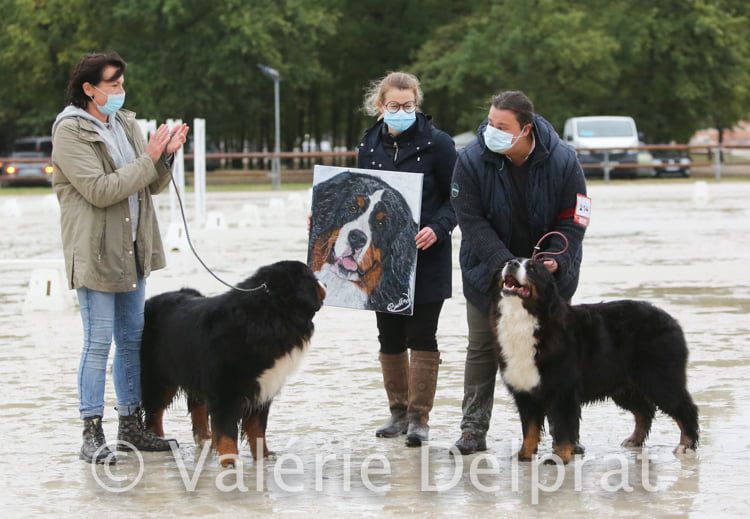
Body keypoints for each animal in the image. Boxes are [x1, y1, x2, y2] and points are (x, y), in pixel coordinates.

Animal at [141, 260, 326, 468]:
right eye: (313, 279)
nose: (325, 285)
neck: (269, 316)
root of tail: (150, 302)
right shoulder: (226, 392)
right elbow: (227, 430)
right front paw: (230, 461)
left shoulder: (262, 389)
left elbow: (257, 429)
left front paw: (263, 457)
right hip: (159, 378)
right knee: (155, 412)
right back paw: (159, 439)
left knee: (196, 406)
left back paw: (205, 439)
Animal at [494, 258, 700, 466]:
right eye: (512, 262)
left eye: (532, 268)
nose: (511, 263)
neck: (527, 322)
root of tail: (672, 321)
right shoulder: (524, 392)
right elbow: (530, 429)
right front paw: (524, 455)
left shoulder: (563, 392)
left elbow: (562, 429)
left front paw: (559, 457)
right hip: (623, 386)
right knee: (645, 411)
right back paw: (634, 440)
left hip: (660, 380)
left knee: (686, 409)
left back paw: (686, 445)